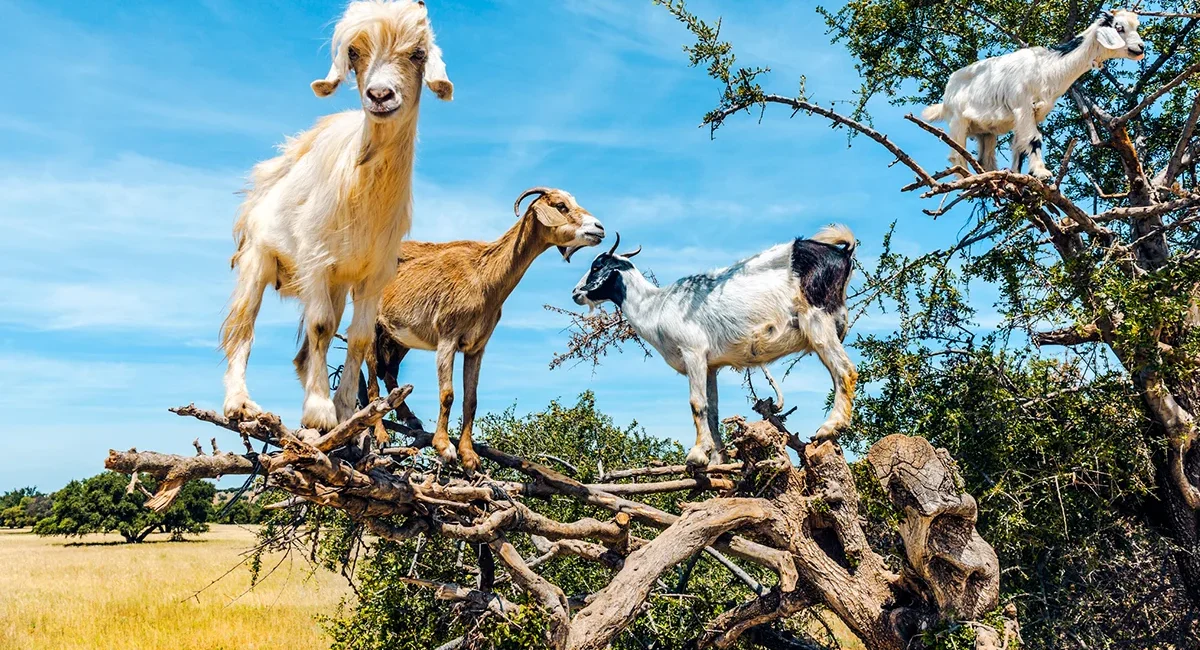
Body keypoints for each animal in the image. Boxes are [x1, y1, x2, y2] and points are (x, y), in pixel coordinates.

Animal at [221, 0, 453, 431]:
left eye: (418, 54)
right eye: (354, 53)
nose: (380, 95)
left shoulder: (373, 273)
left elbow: (359, 337)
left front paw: (345, 410)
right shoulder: (315, 261)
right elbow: (321, 326)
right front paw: (318, 412)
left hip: (338, 285)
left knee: (302, 353)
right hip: (257, 260)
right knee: (241, 329)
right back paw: (240, 404)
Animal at [361, 187, 605, 471]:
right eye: (560, 206)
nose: (599, 228)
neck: (484, 275)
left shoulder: (477, 346)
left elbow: (471, 399)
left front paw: (469, 456)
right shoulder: (448, 337)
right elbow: (447, 394)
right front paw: (444, 447)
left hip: (398, 337)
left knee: (389, 373)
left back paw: (410, 418)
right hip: (371, 325)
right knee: (372, 383)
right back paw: (381, 436)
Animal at [572, 226, 858, 468]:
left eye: (597, 266)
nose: (575, 293)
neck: (655, 306)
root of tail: (842, 253)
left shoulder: (693, 352)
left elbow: (697, 404)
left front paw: (697, 455)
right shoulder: (710, 365)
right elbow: (712, 409)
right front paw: (717, 459)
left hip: (817, 320)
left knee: (844, 370)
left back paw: (830, 428)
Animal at [923, 10, 1144, 180]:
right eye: (1119, 27)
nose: (1141, 48)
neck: (1046, 68)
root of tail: (946, 96)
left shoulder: (1035, 112)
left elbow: (1020, 145)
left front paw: (1018, 174)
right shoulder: (1022, 106)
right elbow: (1033, 139)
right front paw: (1042, 173)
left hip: (986, 131)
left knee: (985, 157)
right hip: (957, 121)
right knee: (956, 154)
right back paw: (968, 179)